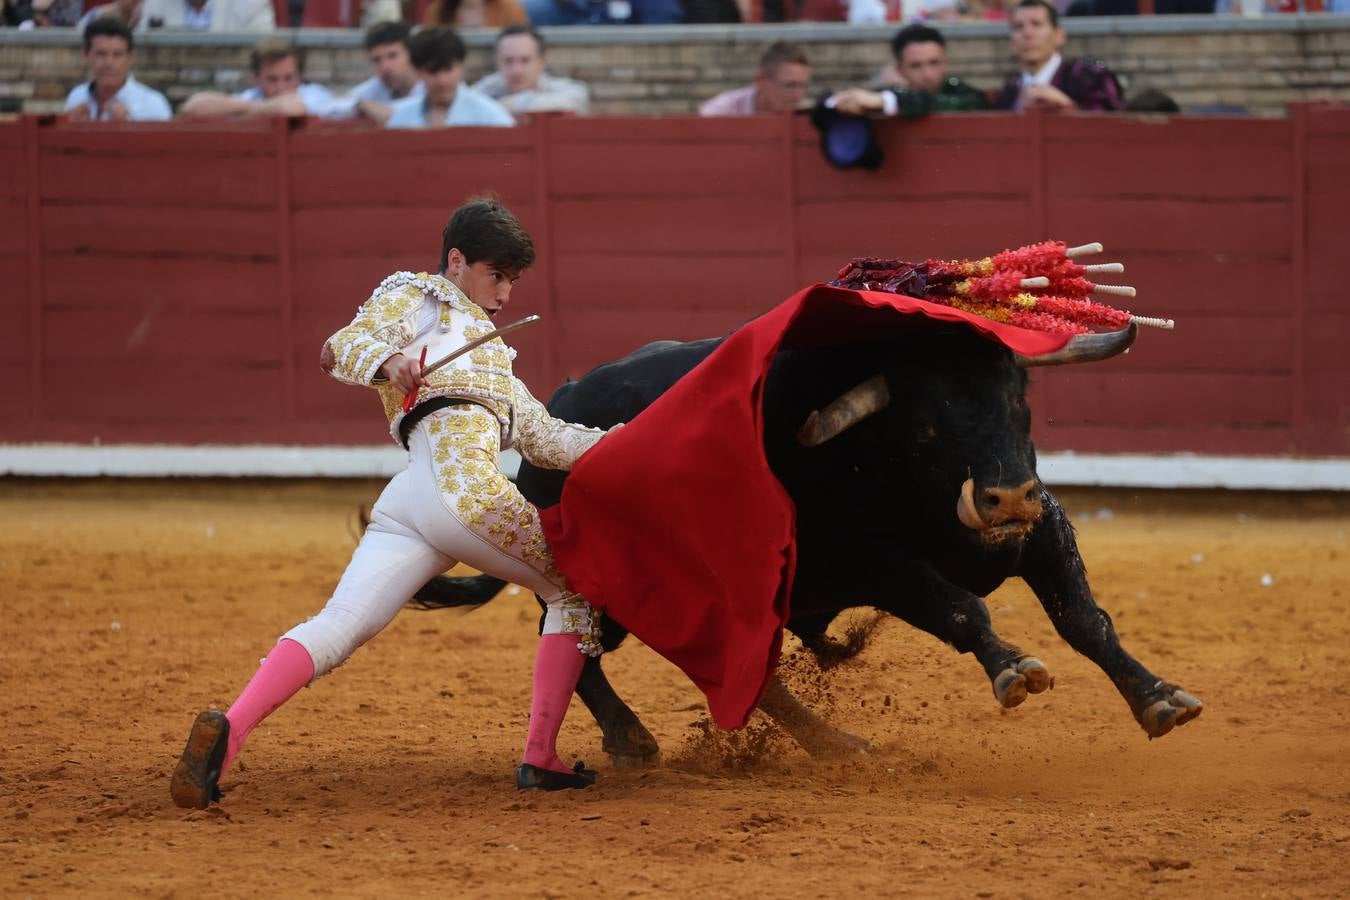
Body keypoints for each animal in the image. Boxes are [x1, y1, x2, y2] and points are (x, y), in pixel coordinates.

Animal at [410, 323, 1204, 761]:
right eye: (928, 416)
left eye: (1019, 394)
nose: (1004, 496)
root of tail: (552, 412)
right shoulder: (877, 562)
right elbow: (960, 609)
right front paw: (1013, 668)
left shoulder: (1040, 530)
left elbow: (1085, 619)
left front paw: (1161, 699)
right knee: (578, 645)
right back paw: (635, 739)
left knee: (750, 679)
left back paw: (836, 744)